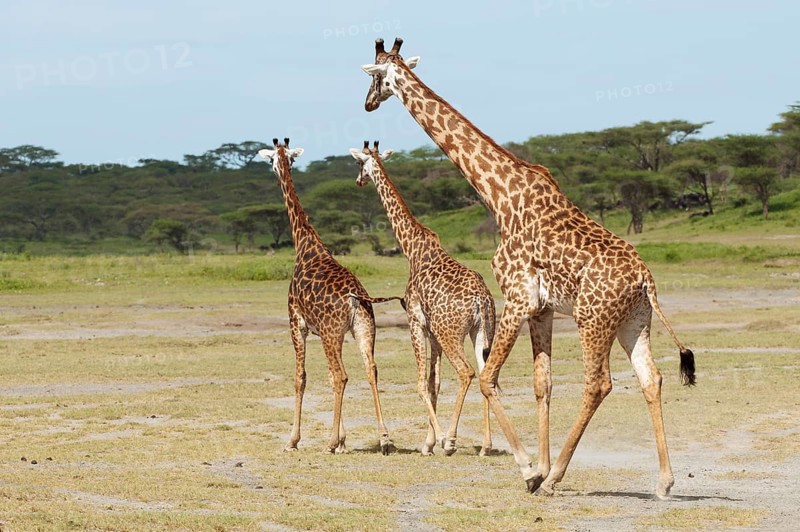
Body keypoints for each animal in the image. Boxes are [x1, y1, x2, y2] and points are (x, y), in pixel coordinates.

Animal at [258, 138, 400, 455]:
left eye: (271, 160)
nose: (274, 169)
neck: (304, 243)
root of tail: (355, 297)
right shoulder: (334, 332)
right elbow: (327, 376)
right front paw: (345, 441)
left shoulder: (297, 323)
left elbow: (301, 378)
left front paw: (294, 440)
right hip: (362, 329)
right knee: (369, 369)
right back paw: (384, 438)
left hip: (331, 332)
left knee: (341, 375)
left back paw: (329, 442)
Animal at [350, 140, 496, 456]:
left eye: (358, 164)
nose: (358, 181)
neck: (411, 248)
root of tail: (481, 300)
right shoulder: (431, 330)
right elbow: (434, 383)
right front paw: (428, 443)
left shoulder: (416, 321)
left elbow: (420, 383)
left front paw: (437, 440)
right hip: (481, 331)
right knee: (483, 372)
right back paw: (485, 445)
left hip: (450, 332)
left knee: (466, 372)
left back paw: (451, 441)